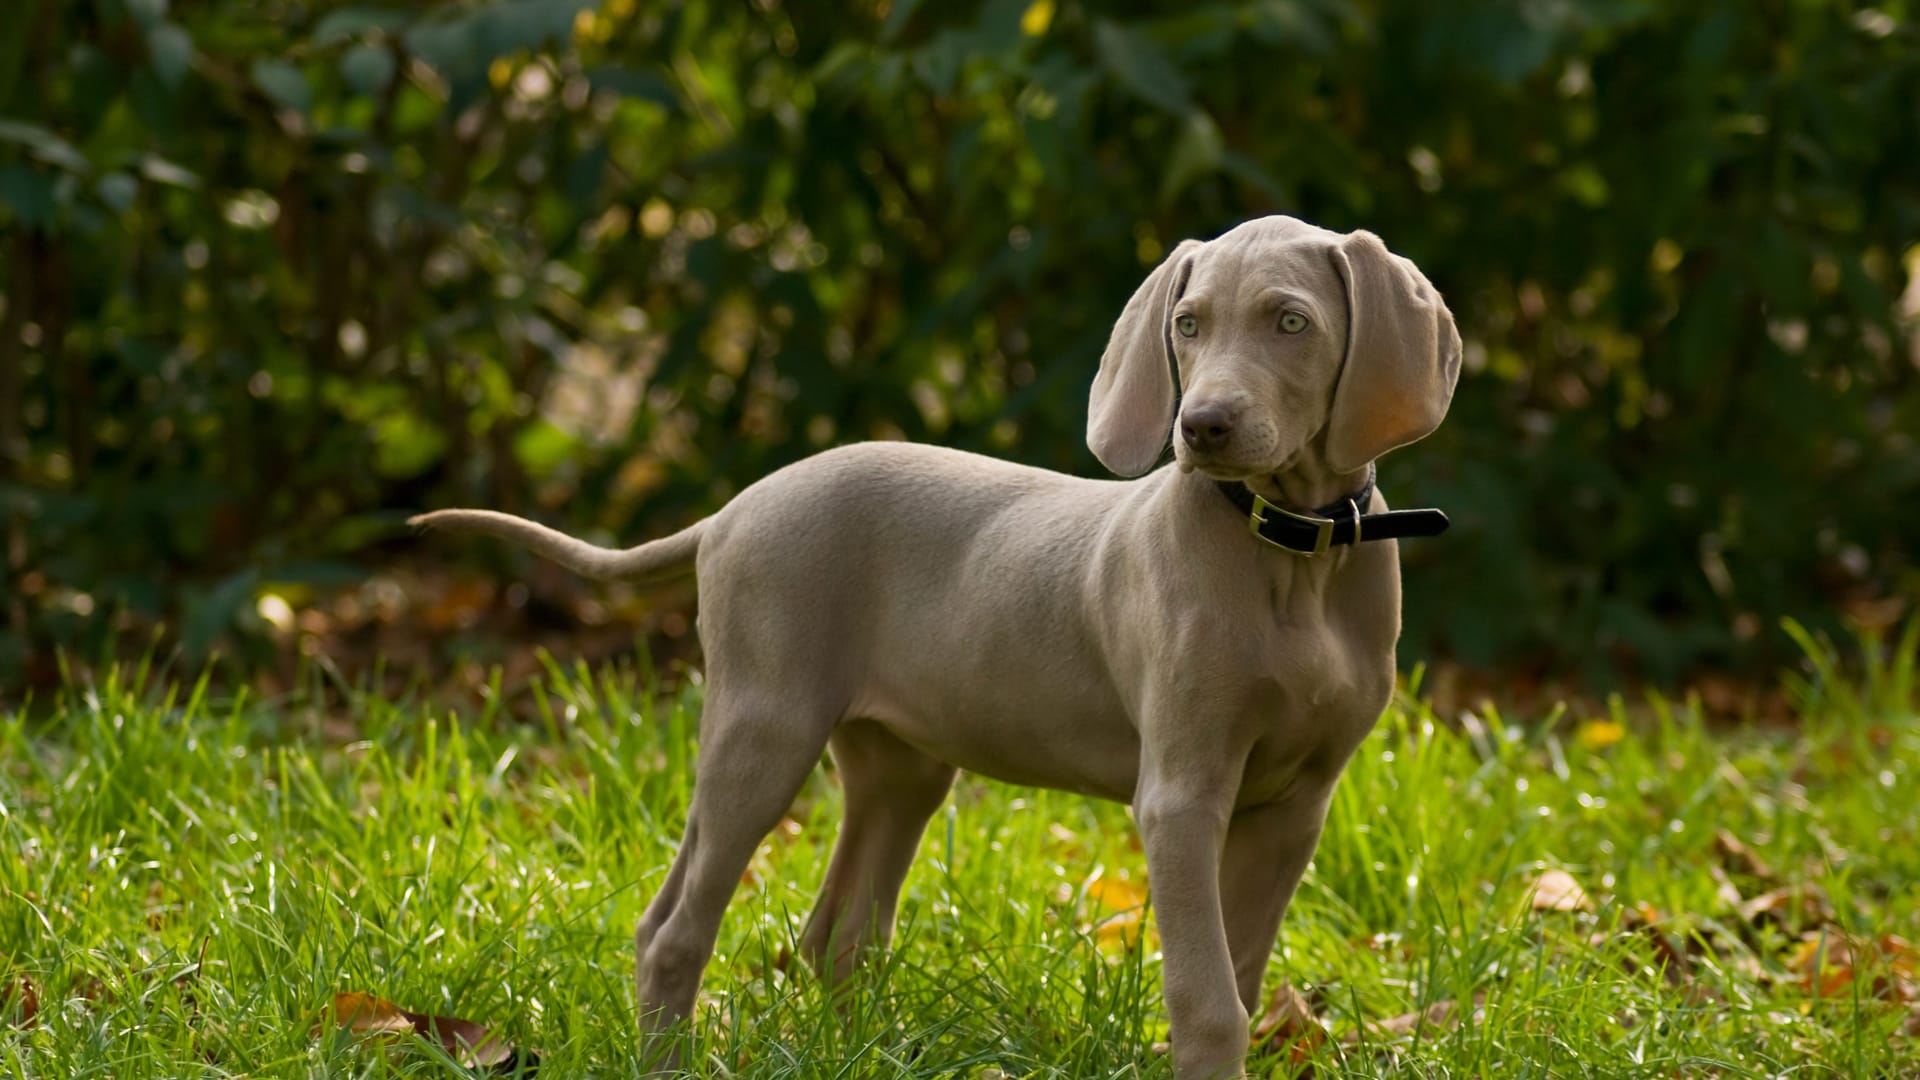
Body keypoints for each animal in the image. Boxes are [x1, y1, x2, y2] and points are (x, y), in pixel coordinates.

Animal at [408, 214, 1451, 1068]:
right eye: (1188, 325)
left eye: (1290, 323)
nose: (1201, 427)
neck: (1295, 553)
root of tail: (732, 510)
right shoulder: (1182, 797)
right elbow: (1208, 1001)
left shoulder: (1297, 807)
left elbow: (1242, 972)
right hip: (764, 726)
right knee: (676, 930)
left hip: (898, 763)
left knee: (832, 935)